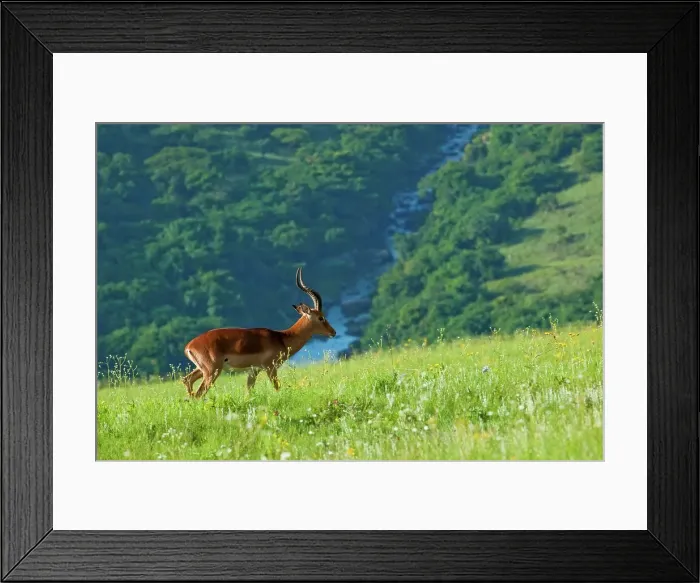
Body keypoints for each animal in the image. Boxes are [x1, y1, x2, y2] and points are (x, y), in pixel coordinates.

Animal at [181, 267, 336, 398]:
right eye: (321, 317)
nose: (333, 332)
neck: (281, 338)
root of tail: (189, 346)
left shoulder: (253, 371)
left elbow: (249, 393)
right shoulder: (270, 368)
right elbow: (277, 388)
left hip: (202, 370)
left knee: (187, 380)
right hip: (211, 372)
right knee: (198, 394)